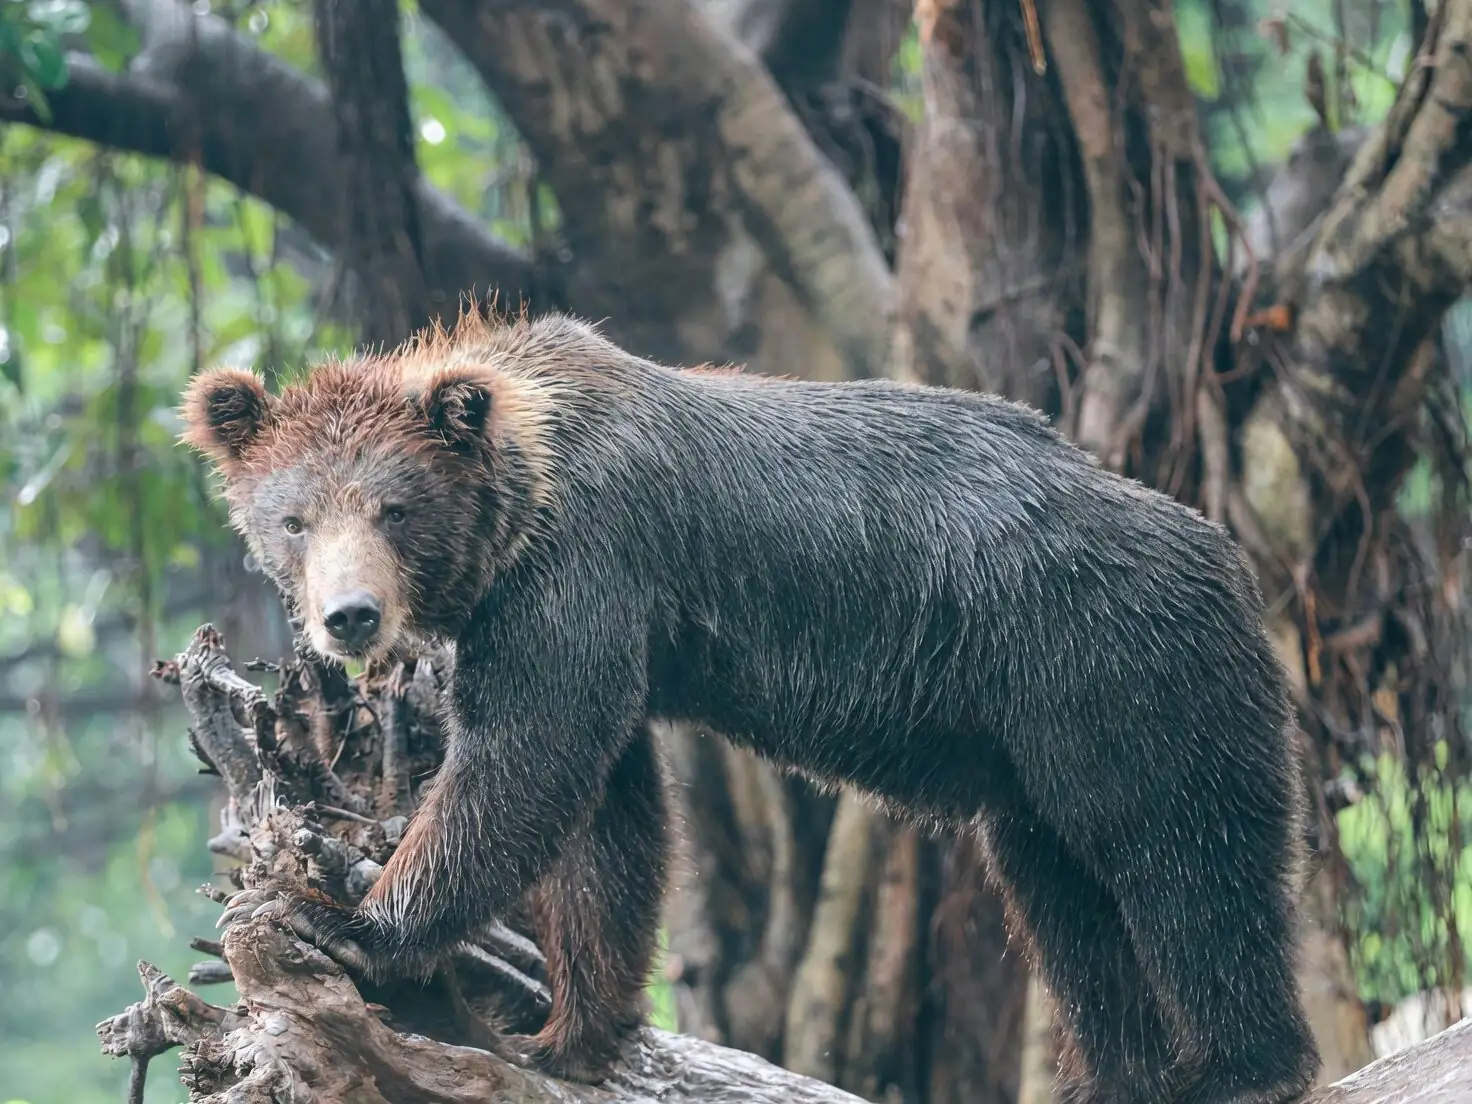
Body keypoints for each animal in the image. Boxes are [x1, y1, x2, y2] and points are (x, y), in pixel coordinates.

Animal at [182, 308, 1320, 1103]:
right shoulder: (601, 627)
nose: (350, 617)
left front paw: (353, 917)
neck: (520, 499)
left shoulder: (579, 578)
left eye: (393, 508)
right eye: (293, 517)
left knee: (1180, 856)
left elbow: (523, 767)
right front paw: (567, 1029)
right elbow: (609, 821)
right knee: (1063, 899)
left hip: (1110, 668)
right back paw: (1115, 1074)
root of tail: (1224, 553)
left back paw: (1239, 1065)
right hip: (1031, 749)